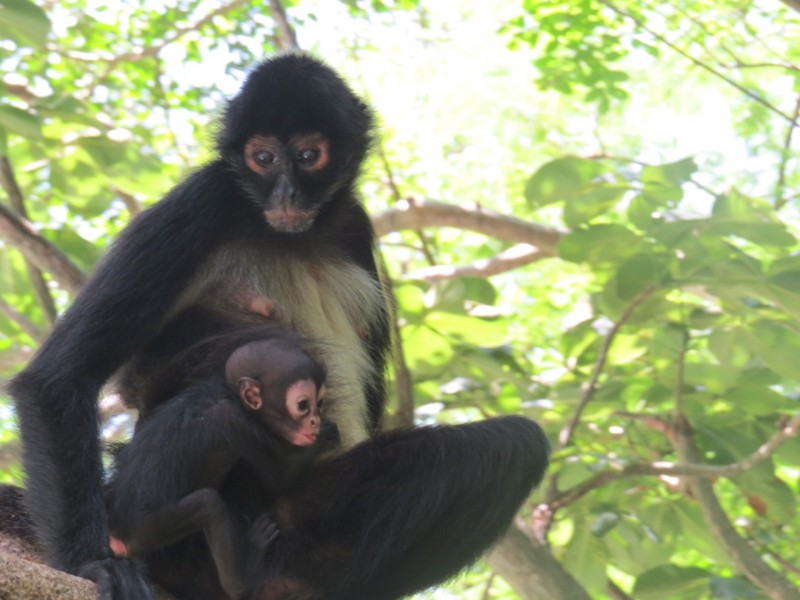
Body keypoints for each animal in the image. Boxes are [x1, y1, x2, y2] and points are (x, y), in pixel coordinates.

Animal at [9, 54, 552, 596]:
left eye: (309, 155)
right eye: (264, 159)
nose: (287, 192)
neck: (295, 235)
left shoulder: (353, 224)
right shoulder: (205, 199)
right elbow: (58, 377)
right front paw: (89, 564)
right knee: (515, 444)